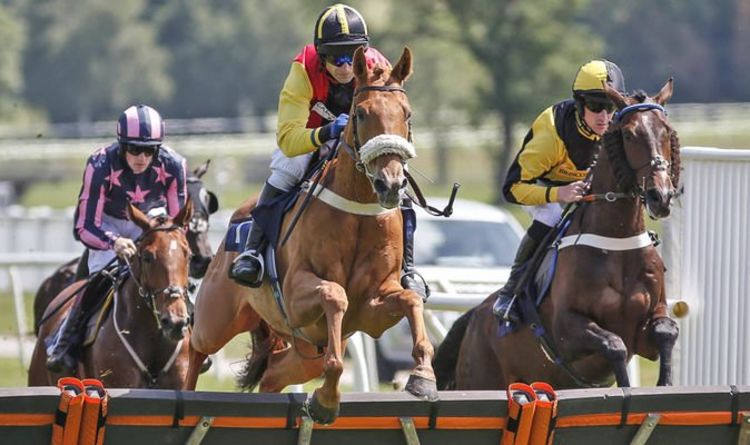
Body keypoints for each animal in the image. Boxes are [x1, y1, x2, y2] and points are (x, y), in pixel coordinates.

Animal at [184, 46, 438, 424]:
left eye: (407, 114)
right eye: (361, 114)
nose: (390, 184)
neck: (357, 209)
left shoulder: (373, 305)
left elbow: (410, 299)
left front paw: (422, 377)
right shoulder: (295, 294)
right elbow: (335, 295)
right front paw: (327, 399)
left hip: (305, 352)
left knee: (273, 372)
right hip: (217, 320)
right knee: (195, 347)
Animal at [433, 79, 681, 390]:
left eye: (666, 131)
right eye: (629, 133)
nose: (661, 196)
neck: (617, 240)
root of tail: (474, 318)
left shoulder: (650, 322)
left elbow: (666, 331)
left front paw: (666, 383)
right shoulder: (567, 332)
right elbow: (615, 345)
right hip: (481, 380)